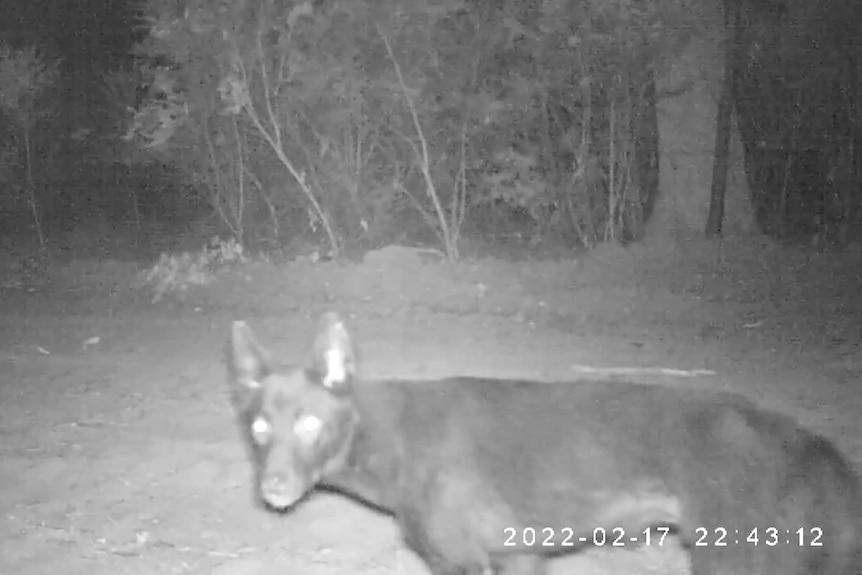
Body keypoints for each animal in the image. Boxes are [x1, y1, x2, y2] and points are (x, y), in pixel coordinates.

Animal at [226, 316, 860, 575]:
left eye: (310, 423)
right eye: (259, 429)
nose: (272, 487)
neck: (393, 439)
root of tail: (813, 443)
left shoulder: (462, 560)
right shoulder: (518, 554)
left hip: (737, 559)